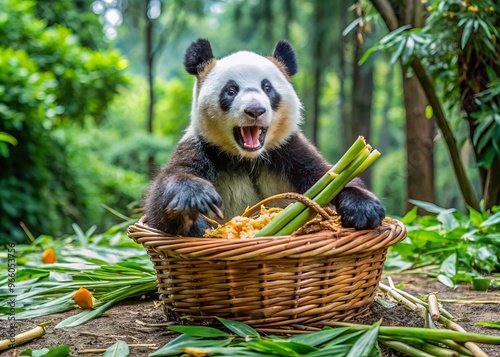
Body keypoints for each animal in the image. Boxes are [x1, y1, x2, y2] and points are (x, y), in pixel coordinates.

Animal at [143, 39, 384, 236]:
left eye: (267, 87)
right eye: (231, 90)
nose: (255, 110)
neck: (247, 158)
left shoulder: (288, 150)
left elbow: (330, 177)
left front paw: (364, 209)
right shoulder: (202, 146)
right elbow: (161, 203)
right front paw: (196, 202)